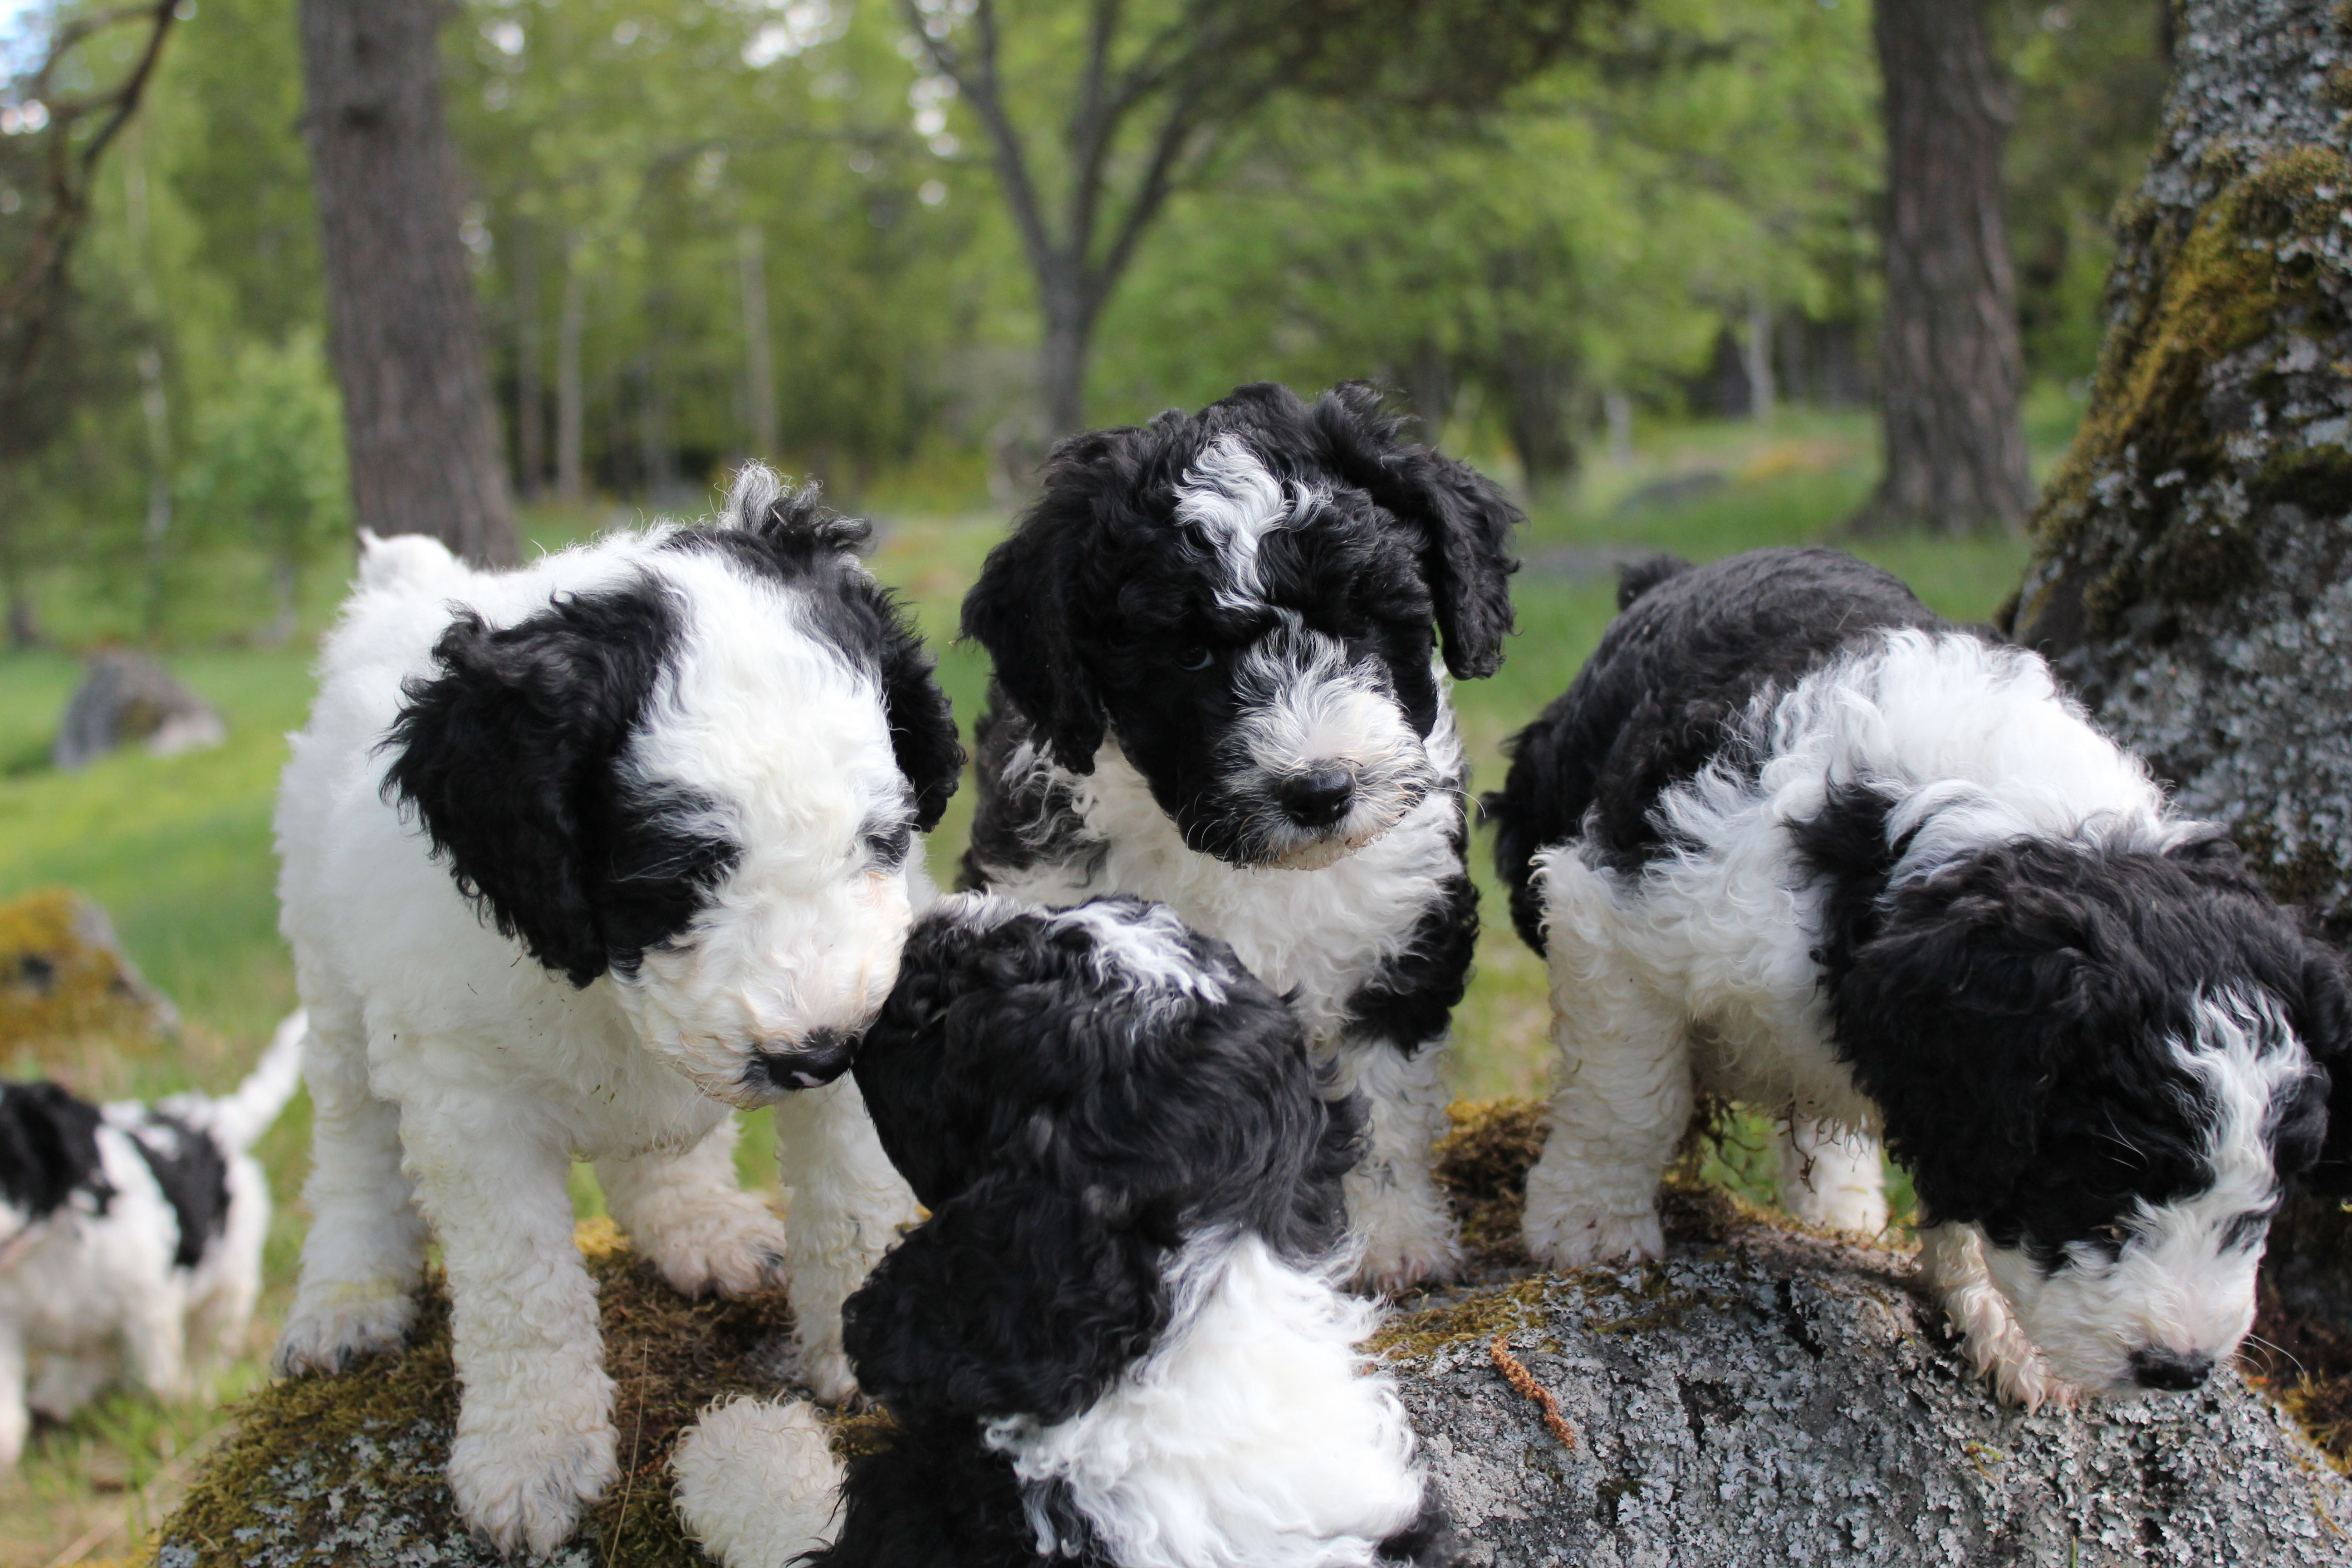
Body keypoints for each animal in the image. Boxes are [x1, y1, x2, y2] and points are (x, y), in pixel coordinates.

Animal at [262, 465, 950, 1561]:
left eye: (882, 840)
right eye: (678, 872)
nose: (814, 1054)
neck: (601, 988)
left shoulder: (863, 1008)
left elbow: (851, 1203)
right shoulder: (467, 1098)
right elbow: (522, 1286)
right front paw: (530, 1456)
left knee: (656, 1151)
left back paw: (699, 1224)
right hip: (328, 978)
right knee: (353, 1151)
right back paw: (348, 1294)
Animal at [960, 383, 1524, 1298]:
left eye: (1359, 620)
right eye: (1188, 654)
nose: (1321, 790)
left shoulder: (1400, 939)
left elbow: (1384, 1102)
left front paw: (1391, 1237)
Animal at [1486, 550, 2352, 1410]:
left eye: (2278, 1180)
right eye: (2110, 1174)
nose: (2179, 1369)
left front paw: (1999, 1319)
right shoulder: (1618, 911)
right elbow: (1632, 1097)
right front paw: (1593, 1225)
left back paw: (1840, 1212)